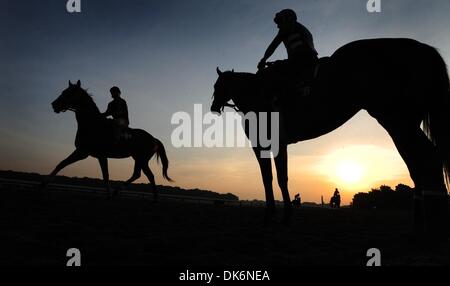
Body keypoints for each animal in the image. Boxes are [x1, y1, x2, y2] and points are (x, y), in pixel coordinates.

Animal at [42, 80, 172, 200]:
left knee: (147, 175)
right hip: (139, 159)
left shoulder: (90, 153)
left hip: (142, 159)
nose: (54, 104)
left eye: (69, 93)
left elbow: (106, 175)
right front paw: (44, 184)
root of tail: (154, 139)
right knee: (141, 174)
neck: (92, 124)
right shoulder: (84, 152)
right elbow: (61, 164)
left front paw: (108, 195)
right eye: (63, 91)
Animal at [212, 36, 450, 236]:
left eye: (217, 86)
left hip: (397, 121)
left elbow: (272, 178)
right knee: (418, 163)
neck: (257, 93)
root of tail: (420, 48)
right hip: (402, 124)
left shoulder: (266, 144)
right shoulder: (277, 144)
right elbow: (278, 178)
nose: (214, 107)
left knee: (426, 159)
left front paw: (275, 215)